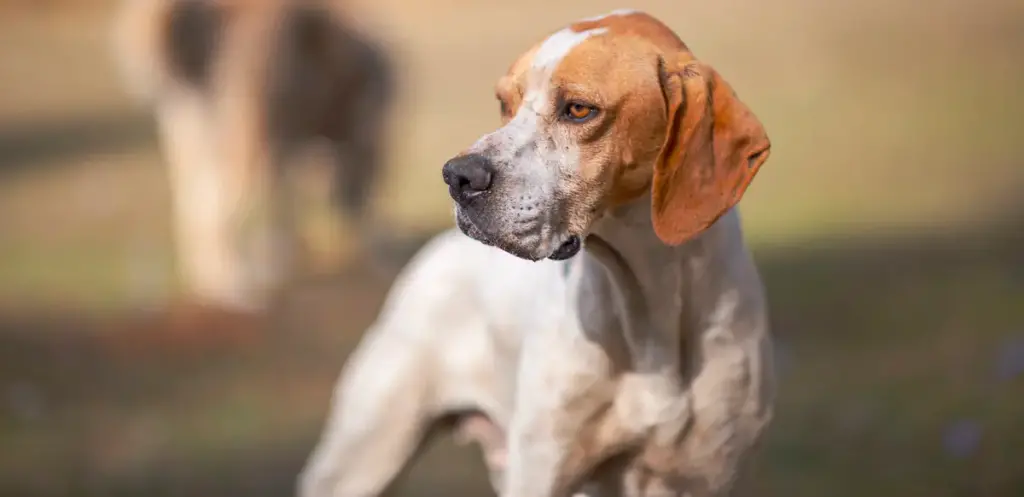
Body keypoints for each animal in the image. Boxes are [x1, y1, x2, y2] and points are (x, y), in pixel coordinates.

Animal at [111, 0, 391, 309]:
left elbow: (286, 207)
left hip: (197, 134)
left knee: (194, 208)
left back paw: (212, 283)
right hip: (247, 140)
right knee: (218, 212)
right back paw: (237, 287)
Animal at [299, 8, 770, 495]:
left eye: (579, 109)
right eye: (504, 103)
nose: (457, 176)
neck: (647, 309)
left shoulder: (713, 476)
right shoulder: (542, 467)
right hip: (359, 458)